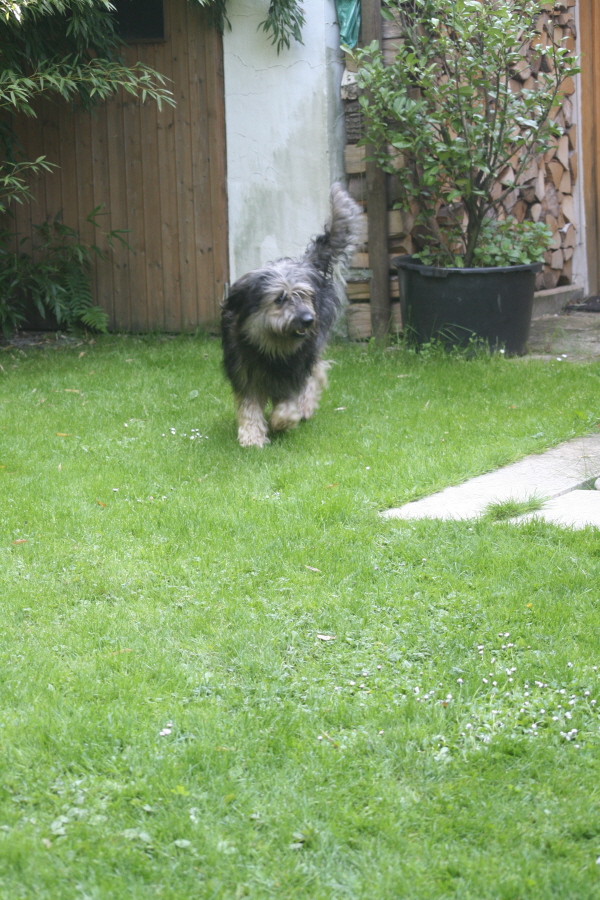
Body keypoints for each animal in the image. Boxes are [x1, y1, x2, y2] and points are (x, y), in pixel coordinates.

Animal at [221, 185, 360, 448]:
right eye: (279, 299)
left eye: (303, 296)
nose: (308, 320)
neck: (270, 348)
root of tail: (307, 263)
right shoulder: (245, 371)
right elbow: (249, 406)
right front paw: (252, 435)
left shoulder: (294, 369)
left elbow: (288, 401)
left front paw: (282, 421)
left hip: (314, 345)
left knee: (316, 373)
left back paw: (304, 407)